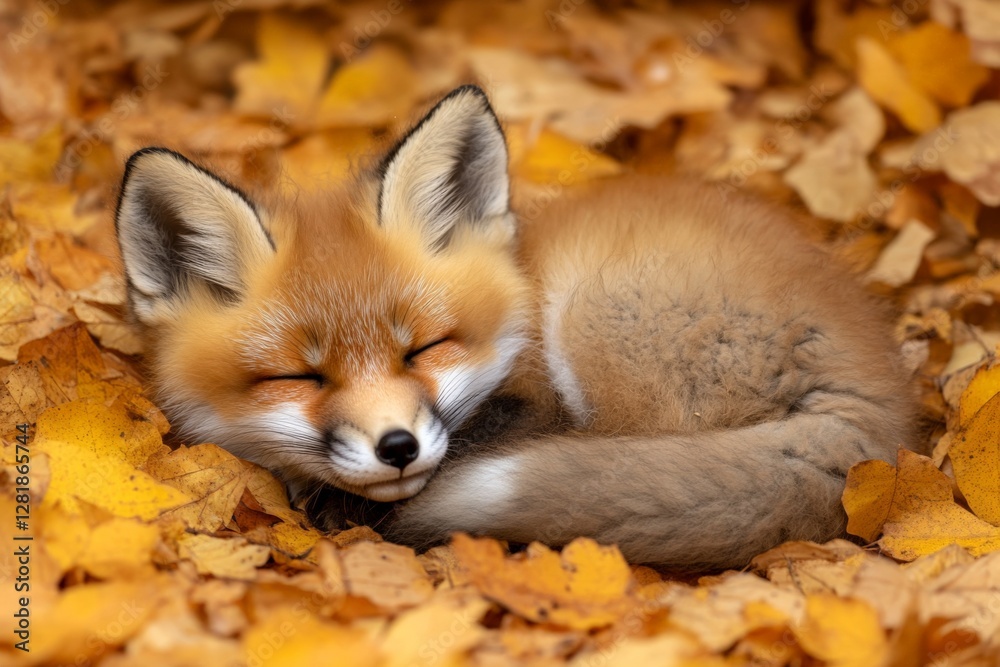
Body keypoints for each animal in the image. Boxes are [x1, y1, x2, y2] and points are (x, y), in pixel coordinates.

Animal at [113, 85, 917, 569]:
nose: (397, 448)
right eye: (299, 376)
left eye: (425, 347)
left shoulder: (533, 398)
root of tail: (881, 401)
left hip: (600, 320)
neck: (517, 300)